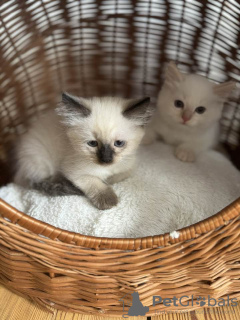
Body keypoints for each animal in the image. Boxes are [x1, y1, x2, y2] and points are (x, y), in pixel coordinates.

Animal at [14, 93, 154, 210]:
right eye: (92, 143)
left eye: (119, 143)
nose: (106, 159)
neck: (106, 169)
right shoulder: (76, 173)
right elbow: (95, 183)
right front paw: (108, 200)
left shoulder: (128, 166)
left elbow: (118, 176)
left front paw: (108, 180)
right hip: (42, 162)